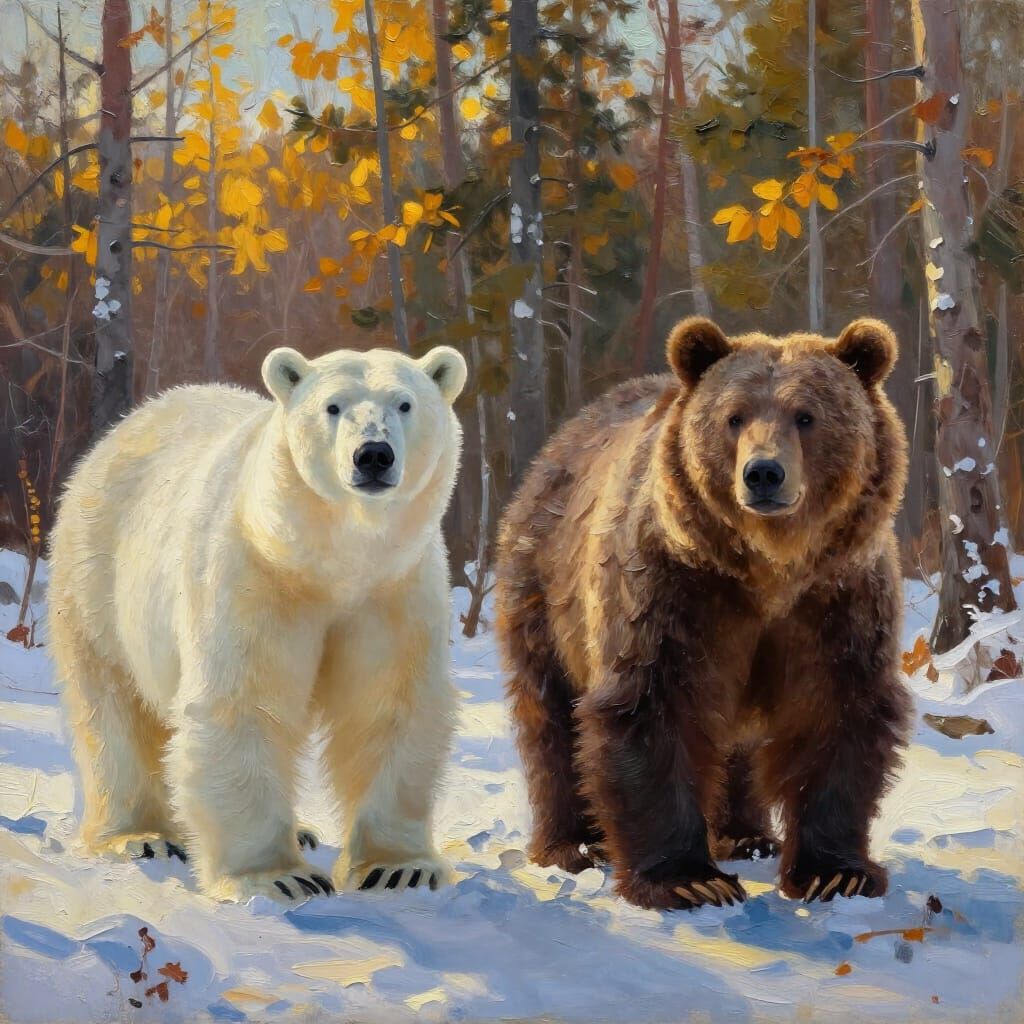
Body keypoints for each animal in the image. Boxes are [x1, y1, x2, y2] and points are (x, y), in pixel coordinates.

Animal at [49, 343, 467, 902]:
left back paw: (304, 831)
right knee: (113, 706)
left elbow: (388, 705)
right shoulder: (253, 574)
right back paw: (141, 836)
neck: (330, 561)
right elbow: (243, 701)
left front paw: (399, 870)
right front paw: (278, 878)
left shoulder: (394, 589)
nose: (373, 455)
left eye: (404, 403)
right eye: (333, 407)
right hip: (97, 577)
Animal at [495, 317, 911, 911]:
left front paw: (837, 873)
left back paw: (748, 835)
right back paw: (572, 844)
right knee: (552, 718)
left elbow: (838, 711)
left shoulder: (837, 600)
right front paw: (689, 878)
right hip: (545, 592)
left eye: (806, 415)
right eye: (733, 417)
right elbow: (653, 705)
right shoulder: (673, 588)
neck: (769, 571)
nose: (763, 474)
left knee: (735, 743)